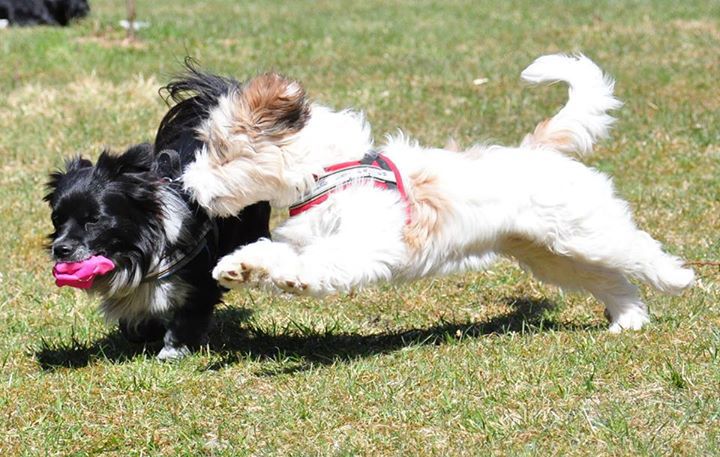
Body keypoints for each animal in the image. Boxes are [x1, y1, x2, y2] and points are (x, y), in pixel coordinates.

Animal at [45, 67, 270, 360]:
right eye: (56, 220)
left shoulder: (199, 283)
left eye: (94, 220)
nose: (60, 249)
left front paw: (173, 350)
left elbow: (189, 316)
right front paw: (146, 331)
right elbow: (134, 319)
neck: (136, 249)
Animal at [183, 55, 696, 330]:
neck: (329, 173)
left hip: (586, 233)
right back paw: (628, 319)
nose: (188, 185)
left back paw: (678, 279)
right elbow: (272, 251)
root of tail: (539, 149)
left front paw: (293, 278)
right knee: (611, 281)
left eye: (223, 153)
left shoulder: (363, 246)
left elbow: (322, 261)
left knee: (639, 250)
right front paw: (239, 267)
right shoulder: (305, 235)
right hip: (549, 255)